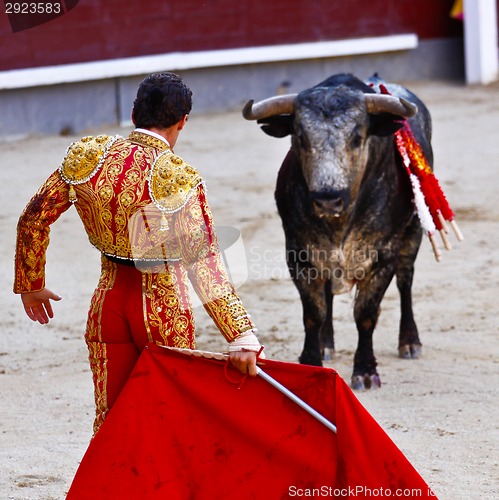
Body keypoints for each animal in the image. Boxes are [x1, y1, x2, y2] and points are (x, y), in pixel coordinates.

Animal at [243, 72, 434, 388]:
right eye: (301, 138)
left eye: (357, 137)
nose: (327, 199)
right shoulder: (299, 253)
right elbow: (314, 313)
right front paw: (312, 360)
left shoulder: (383, 256)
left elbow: (366, 314)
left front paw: (366, 370)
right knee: (329, 294)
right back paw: (326, 344)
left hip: (414, 231)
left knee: (405, 281)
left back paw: (410, 342)